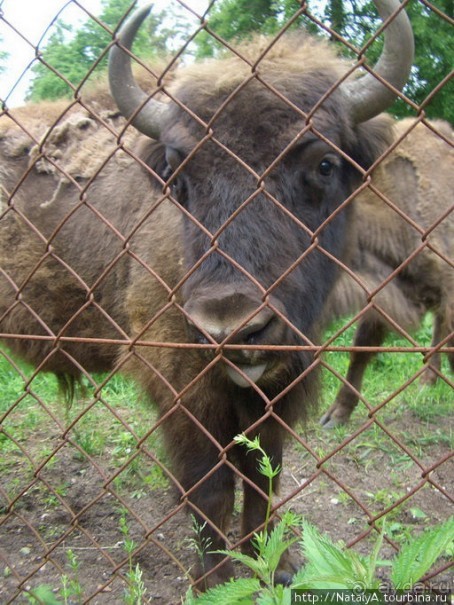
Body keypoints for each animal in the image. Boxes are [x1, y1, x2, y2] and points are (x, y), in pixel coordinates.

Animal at [0, 0, 414, 588]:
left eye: (324, 165)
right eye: (178, 176)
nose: (230, 327)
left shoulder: (279, 382)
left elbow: (264, 475)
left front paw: (275, 565)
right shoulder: (183, 384)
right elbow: (211, 486)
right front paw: (216, 579)